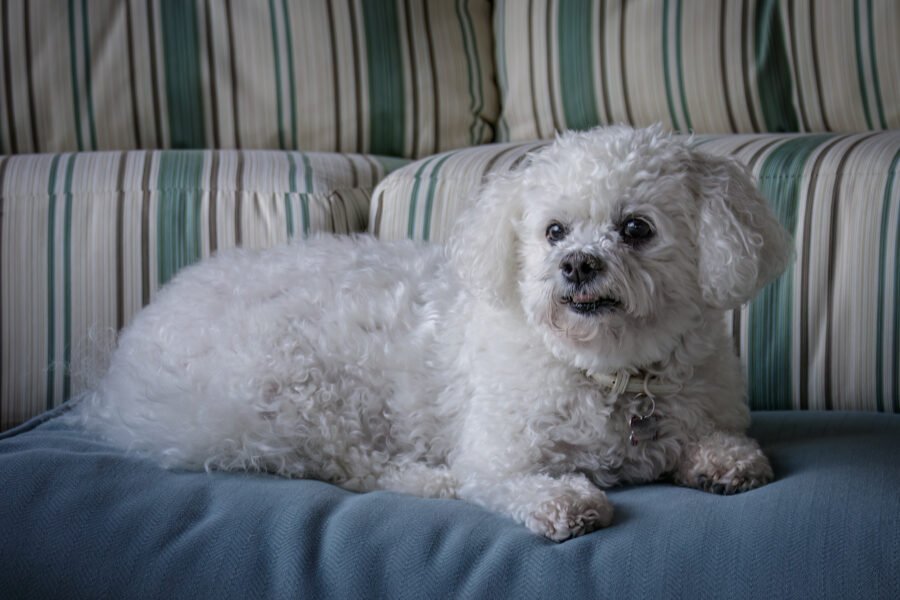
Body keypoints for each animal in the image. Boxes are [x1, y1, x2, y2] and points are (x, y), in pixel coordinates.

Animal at [77, 125, 796, 540]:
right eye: (554, 231)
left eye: (636, 228)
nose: (576, 265)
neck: (615, 370)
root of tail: (128, 356)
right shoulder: (497, 450)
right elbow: (506, 480)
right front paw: (565, 498)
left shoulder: (702, 406)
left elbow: (722, 442)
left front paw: (723, 461)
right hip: (291, 385)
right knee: (347, 466)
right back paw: (432, 481)